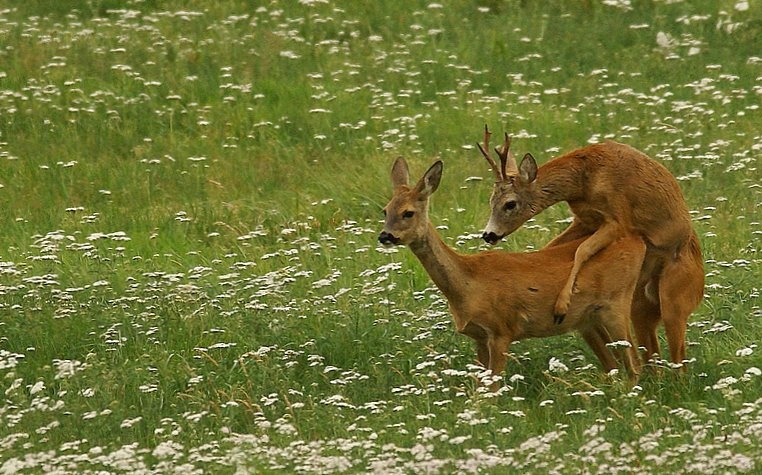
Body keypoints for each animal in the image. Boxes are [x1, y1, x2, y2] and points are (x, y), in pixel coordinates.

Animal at [378, 157, 645, 387]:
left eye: (408, 212)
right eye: (385, 210)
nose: (385, 236)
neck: (467, 283)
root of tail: (636, 239)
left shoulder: (501, 329)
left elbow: (493, 389)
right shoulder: (479, 337)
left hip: (616, 303)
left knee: (634, 363)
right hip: (588, 319)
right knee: (616, 364)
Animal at [475, 125, 704, 368]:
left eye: (510, 204)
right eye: (491, 200)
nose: (489, 235)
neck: (583, 181)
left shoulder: (618, 219)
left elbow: (581, 251)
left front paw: (561, 307)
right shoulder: (583, 221)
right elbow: (553, 246)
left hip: (675, 297)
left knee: (679, 356)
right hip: (641, 303)